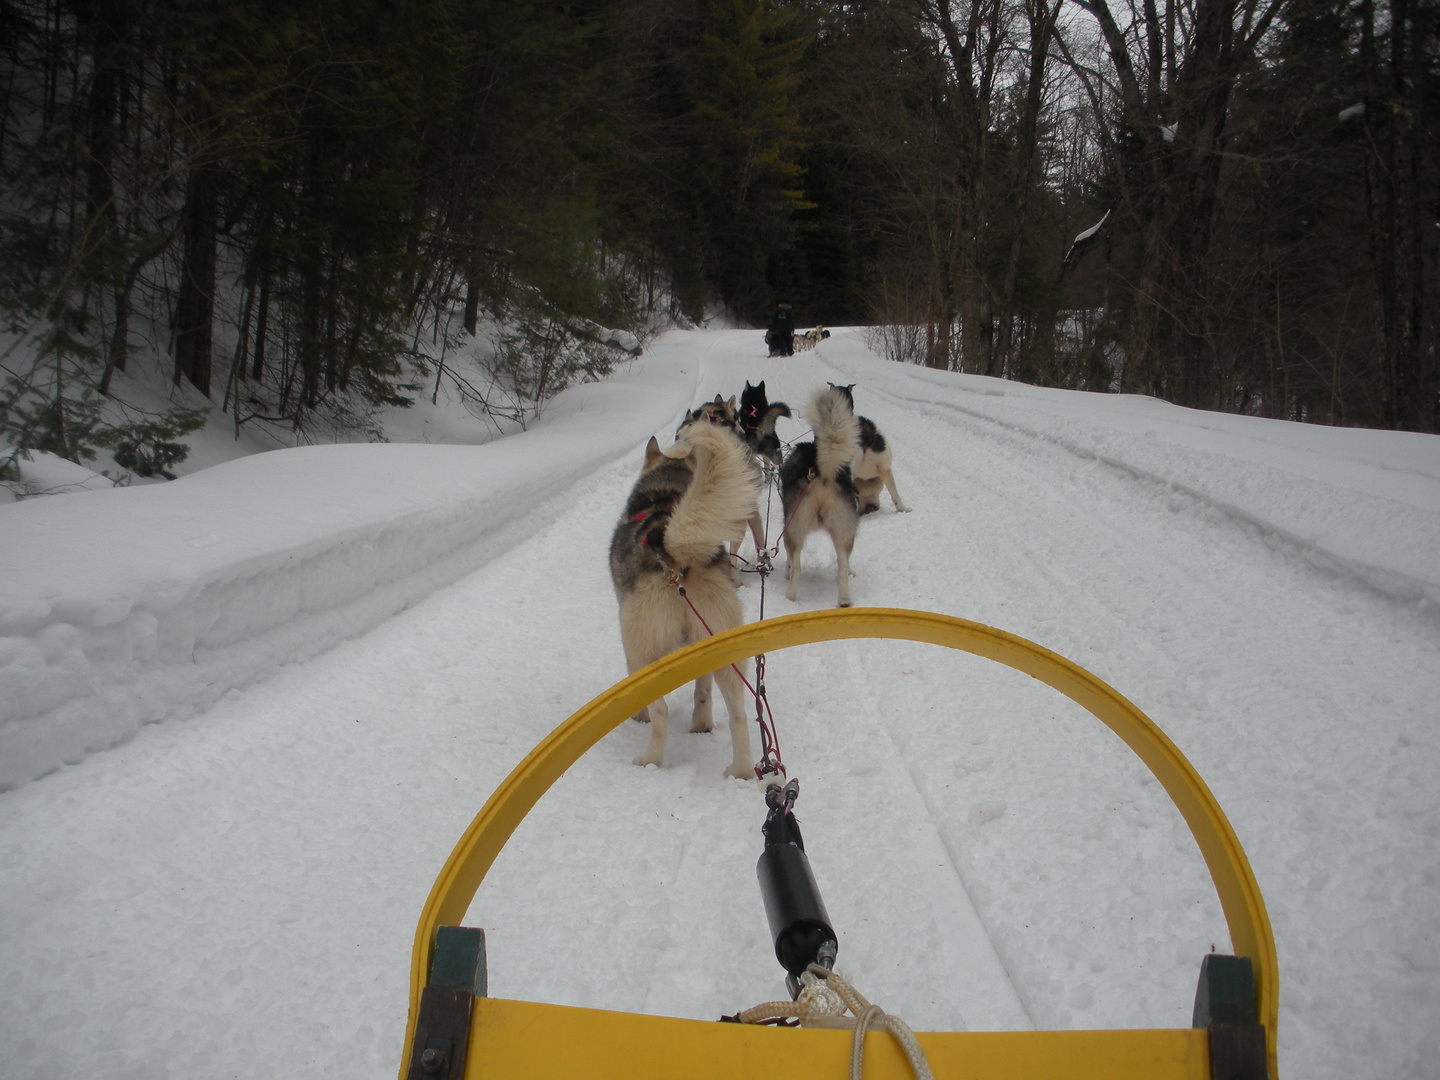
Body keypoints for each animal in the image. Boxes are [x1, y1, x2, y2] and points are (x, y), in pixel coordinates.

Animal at [610, 420, 766, 777]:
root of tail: (674, 556)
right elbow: (702, 689)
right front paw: (701, 721)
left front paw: (638, 715)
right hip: (724, 651)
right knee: (739, 715)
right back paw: (740, 768)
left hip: (645, 650)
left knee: (662, 712)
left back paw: (650, 759)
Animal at [783, 388, 858, 610]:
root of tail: (824, 473)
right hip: (843, 531)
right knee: (842, 565)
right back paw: (844, 600)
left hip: (793, 528)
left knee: (797, 566)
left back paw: (790, 595)